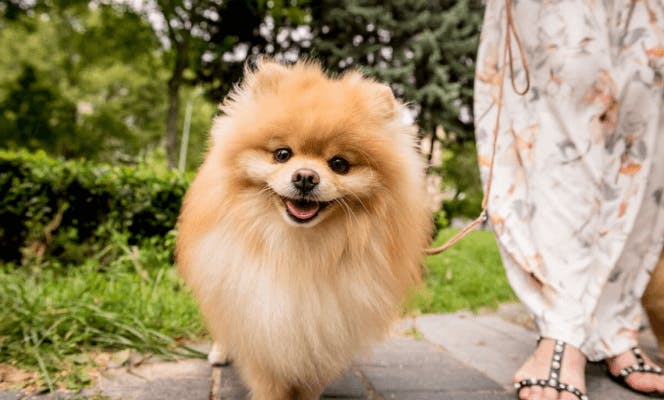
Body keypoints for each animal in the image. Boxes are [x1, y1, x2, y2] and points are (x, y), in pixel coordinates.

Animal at [175, 57, 430, 398]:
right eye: (282, 154)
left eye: (339, 164)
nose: (306, 177)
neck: (301, 249)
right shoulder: (258, 321)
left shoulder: (324, 334)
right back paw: (220, 352)